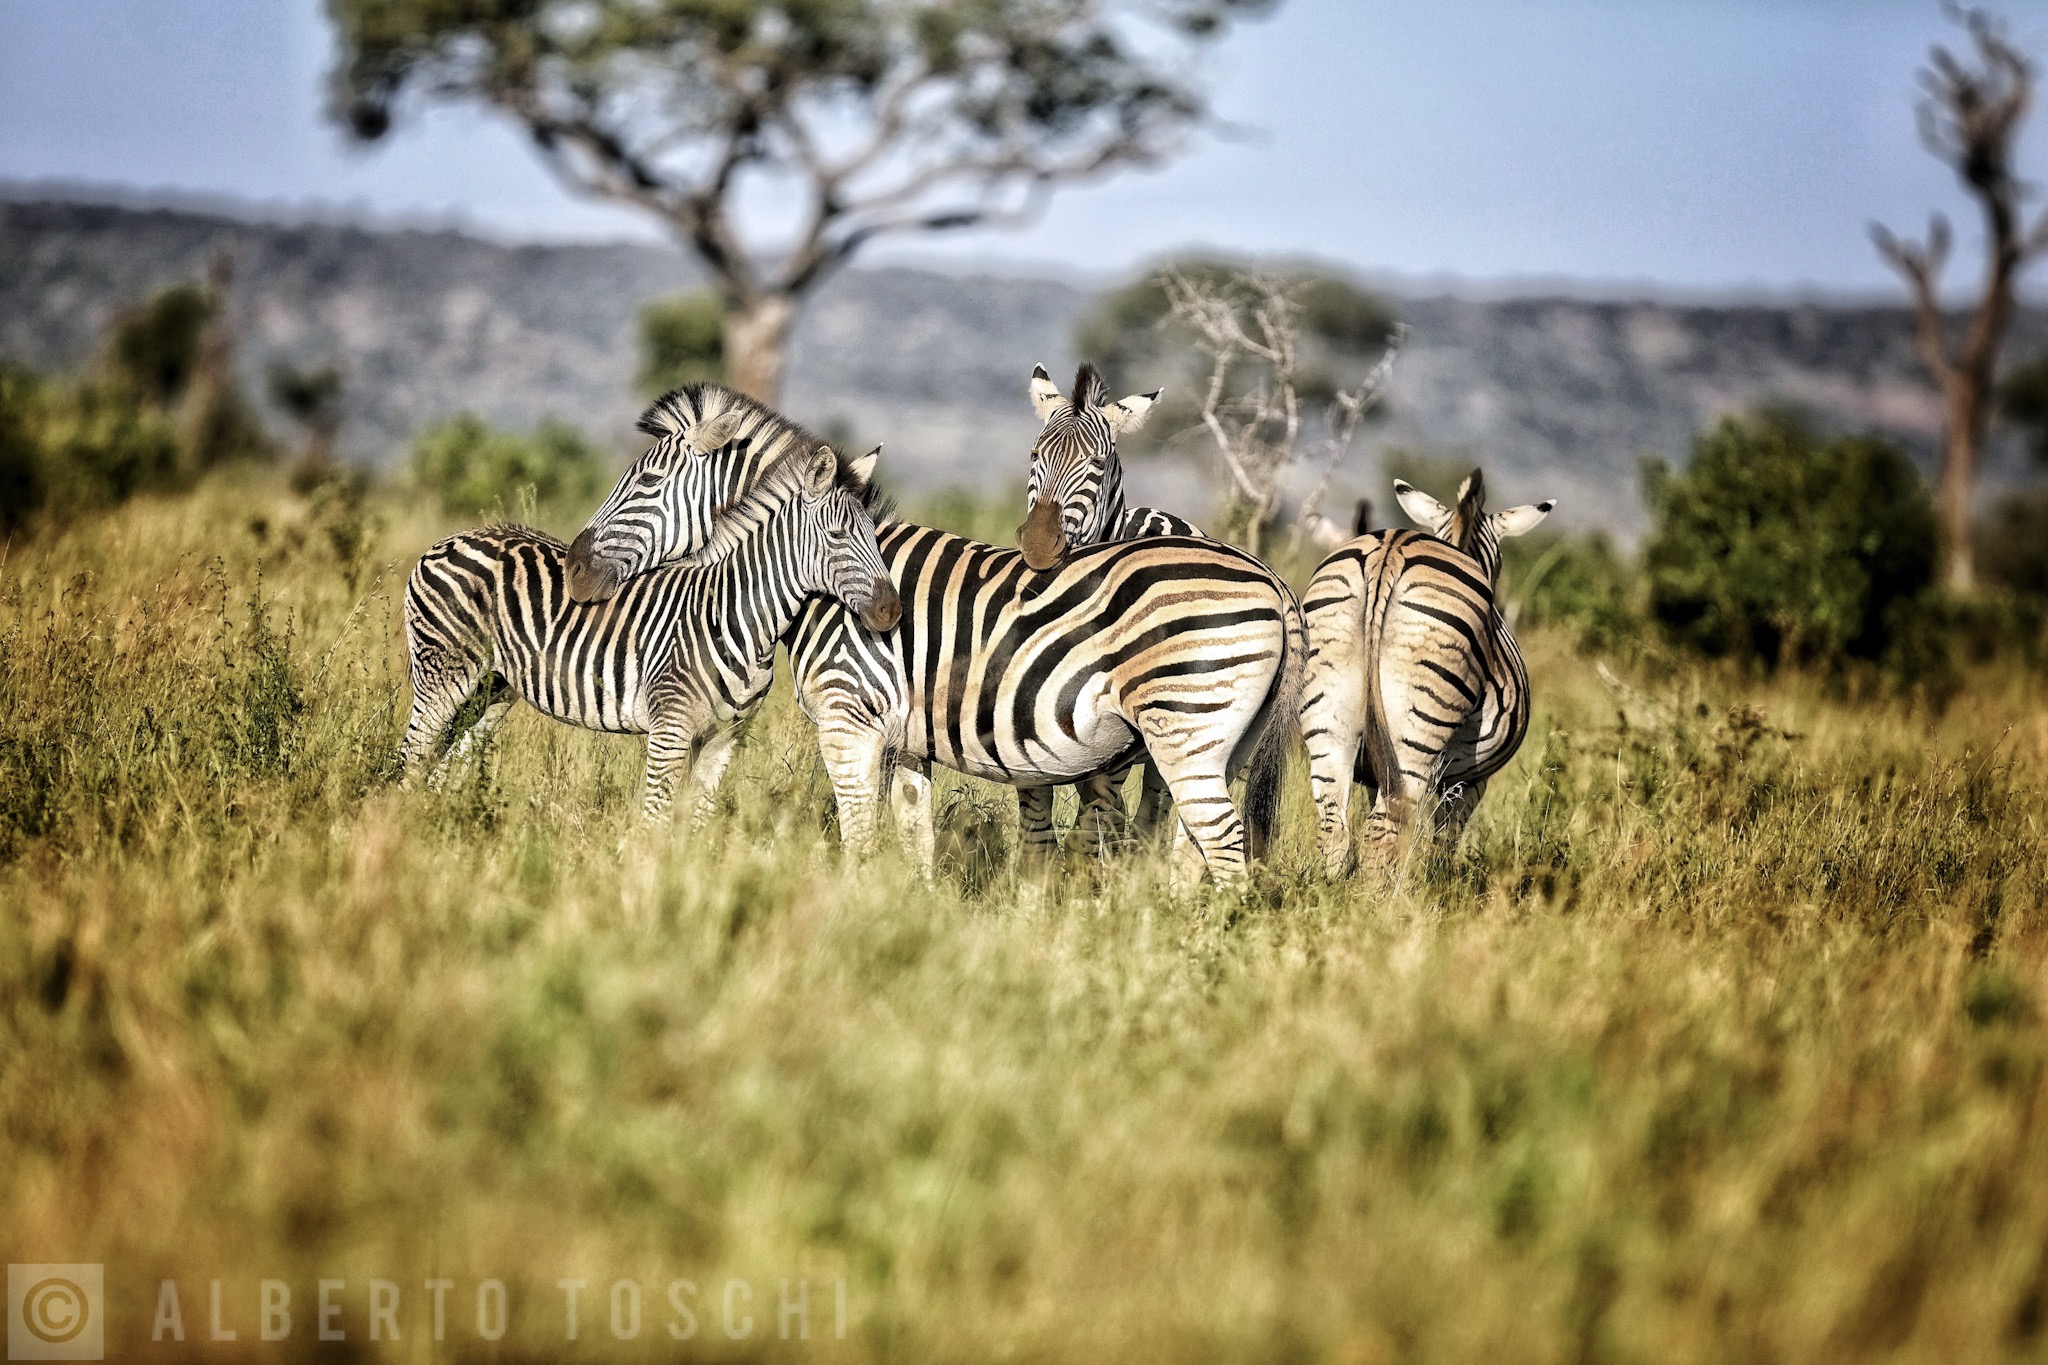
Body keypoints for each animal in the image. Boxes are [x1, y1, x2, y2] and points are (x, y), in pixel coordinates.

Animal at [399, 440, 900, 821]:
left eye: (875, 537)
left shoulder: (725, 737)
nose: (892, 611)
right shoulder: (669, 729)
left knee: (441, 765)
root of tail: (447, 540)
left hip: (492, 689)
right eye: (837, 537)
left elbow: (695, 821)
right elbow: (655, 818)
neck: (740, 620)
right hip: (442, 675)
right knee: (412, 757)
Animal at [1015, 362, 1203, 852]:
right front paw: (1035, 864)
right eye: (1034, 455)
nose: (1038, 544)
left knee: (1151, 808)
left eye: (1096, 465)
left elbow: (1094, 815)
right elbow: (1035, 800)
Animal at [1298, 469, 1554, 876]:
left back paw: (1333, 888)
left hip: (1327, 713)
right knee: (1382, 830)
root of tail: (1389, 552)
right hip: (1417, 730)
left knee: (1334, 823)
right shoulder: (1470, 780)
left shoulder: (1373, 768)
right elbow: (1444, 839)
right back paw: (1377, 893)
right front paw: (1440, 880)